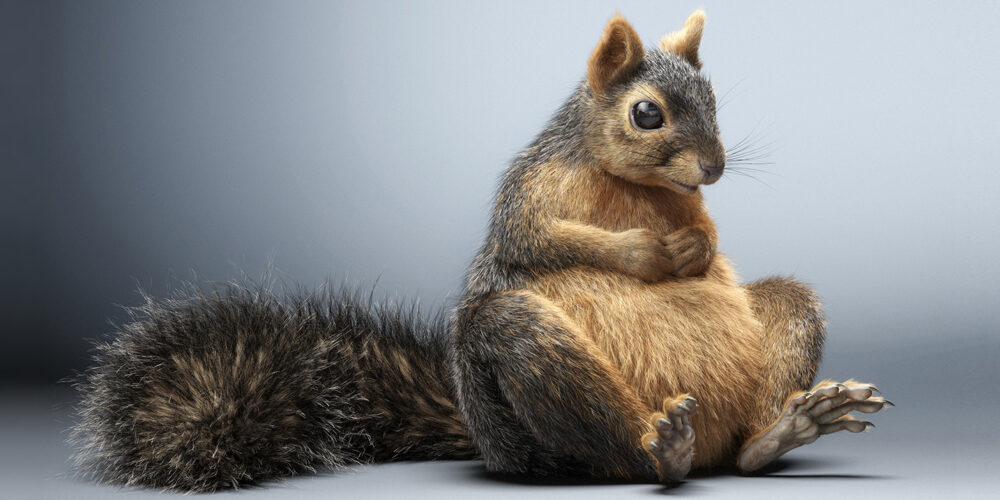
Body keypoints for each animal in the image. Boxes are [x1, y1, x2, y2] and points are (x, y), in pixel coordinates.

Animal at [71, 10, 890, 492]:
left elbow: (713, 239)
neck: (632, 185)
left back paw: (778, 433)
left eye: (715, 100)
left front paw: (693, 247)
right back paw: (664, 451)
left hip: (780, 331)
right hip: (524, 353)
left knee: (749, 422)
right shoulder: (524, 200)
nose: (715, 167)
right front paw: (653, 253)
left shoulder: (692, 208)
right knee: (614, 453)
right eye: (647, 114)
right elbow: (544, 240)